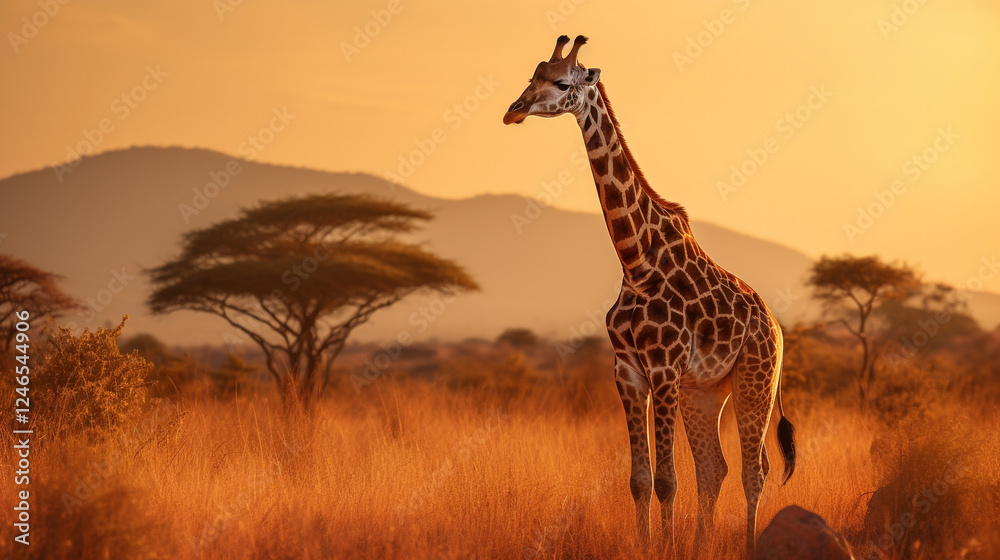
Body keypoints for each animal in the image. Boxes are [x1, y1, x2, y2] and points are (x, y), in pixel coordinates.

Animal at [503, 36, 796, 559]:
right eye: (532, 76)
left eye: (562, 82)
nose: (513, 111)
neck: (635, 261)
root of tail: (777, 327)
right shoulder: (628, 373)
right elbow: (640, 480)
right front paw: (649, 546)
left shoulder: (663, 370)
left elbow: (666, 480)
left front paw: (664, 547)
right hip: (704, 392)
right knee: (715, 468)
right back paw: (701, 545)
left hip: (754, 378)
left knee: (754, 470)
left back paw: (746, 545)